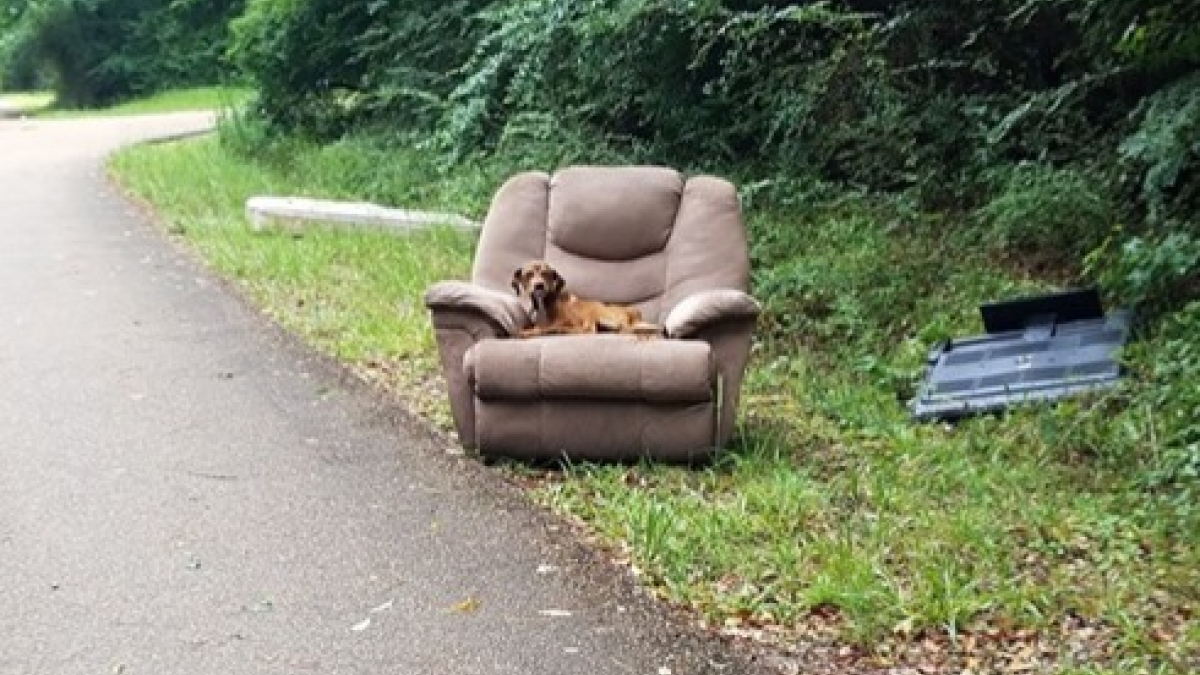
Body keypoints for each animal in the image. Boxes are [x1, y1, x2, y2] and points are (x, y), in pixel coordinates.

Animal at [508, 260, 662, 338]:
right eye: (528, 274)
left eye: (546, 274)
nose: (539, 286)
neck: (544, 302)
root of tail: (632, 316)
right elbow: (539, 325)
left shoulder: (567, 321)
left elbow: (545, 327)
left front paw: (528, 331)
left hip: (594, 310)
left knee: (588, 330)